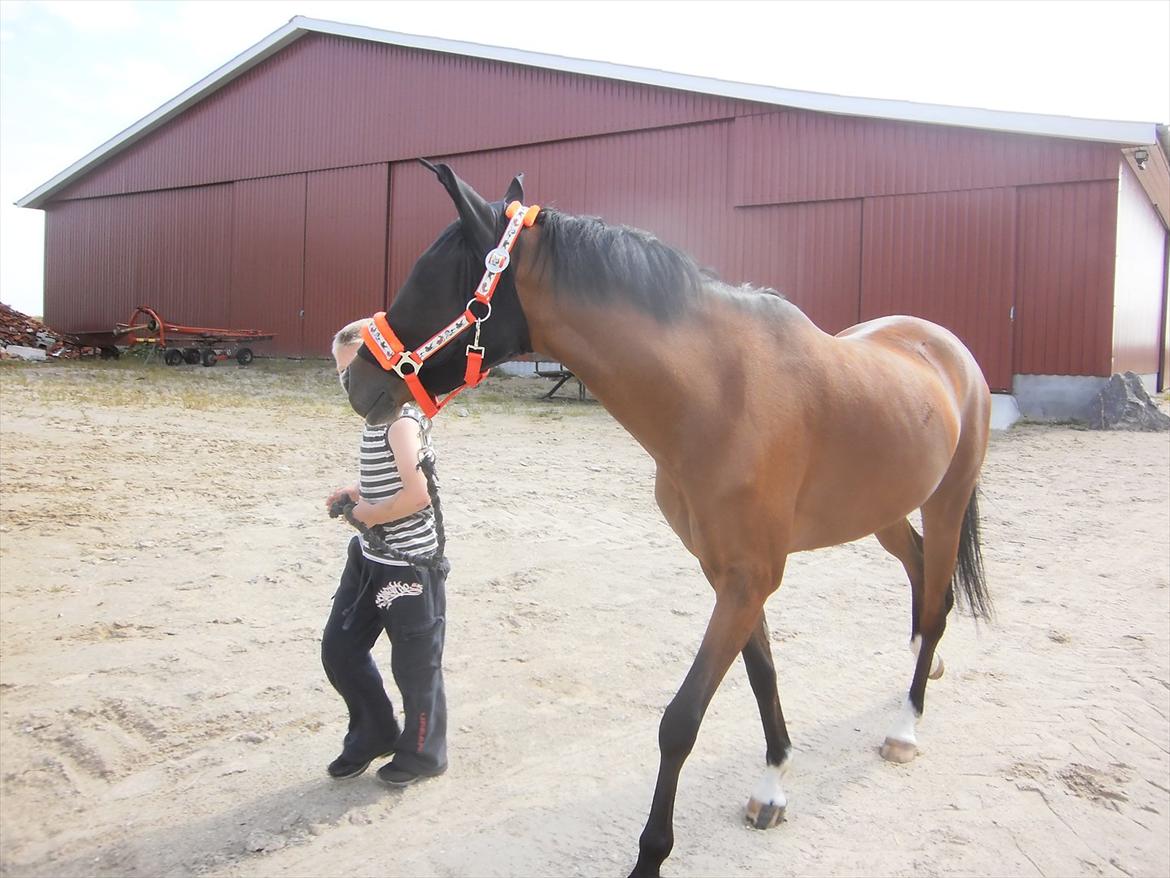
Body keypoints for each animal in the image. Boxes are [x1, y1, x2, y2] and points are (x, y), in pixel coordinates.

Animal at [341, 161, 992, 878]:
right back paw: (923, 670)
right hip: (885, 510)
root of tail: (946, 347)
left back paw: (905, 726)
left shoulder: (749, 580)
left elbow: (680, 721)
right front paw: (772, 788)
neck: (721, 393)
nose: (357, 382)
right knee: (922, 579)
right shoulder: (728, 576)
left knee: (937, 599)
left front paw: (650, 856)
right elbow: (763, 678)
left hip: (946, 499)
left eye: (431, 281)